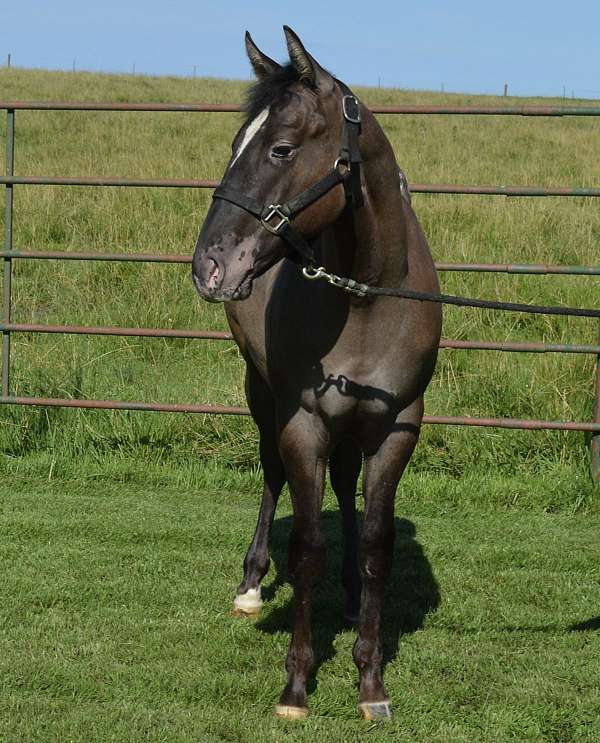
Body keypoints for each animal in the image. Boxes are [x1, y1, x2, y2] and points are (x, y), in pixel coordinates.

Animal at [192, 26, 442, 720]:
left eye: (280, 148)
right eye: (234, 146)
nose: (209, 265)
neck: (365, 295)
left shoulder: (396, 427)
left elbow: (378, 545)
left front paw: (371, 683)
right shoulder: (301, 422)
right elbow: (305, 548)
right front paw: (297, 685)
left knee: (345, 485)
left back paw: (352, 598)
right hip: (263, 397)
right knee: (272, 476)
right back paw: (251, 584)